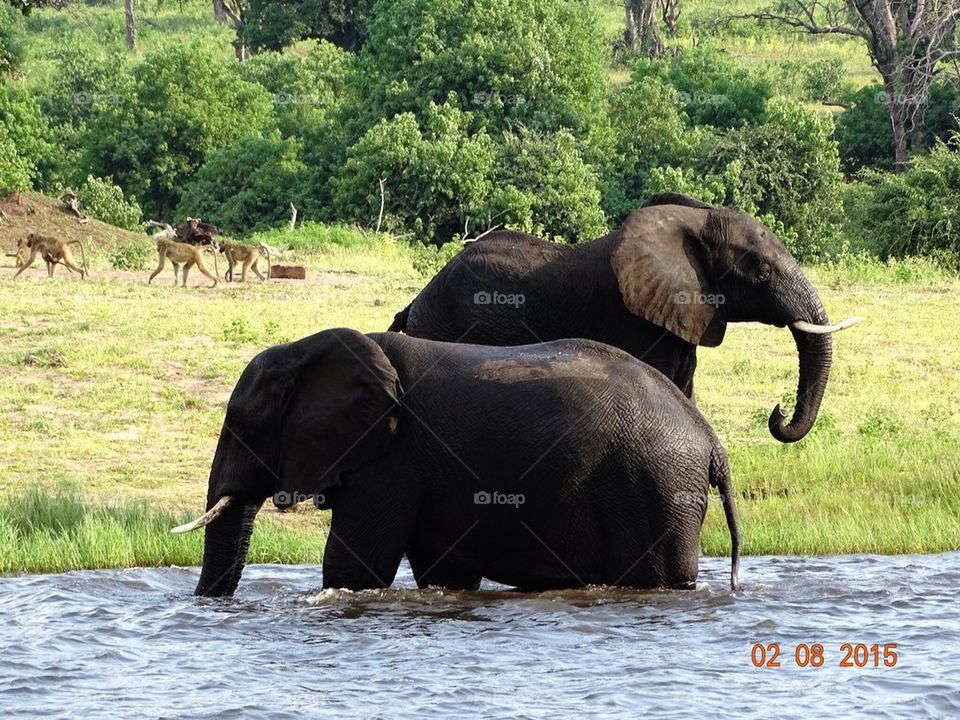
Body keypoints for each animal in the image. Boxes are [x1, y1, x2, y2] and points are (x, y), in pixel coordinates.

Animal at [173, 328, 741, 597]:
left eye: (242, 426)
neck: (309, 348)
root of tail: (711, 440)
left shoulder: (392, 456)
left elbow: (354, 566)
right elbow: (442, 574)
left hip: (657, 485)